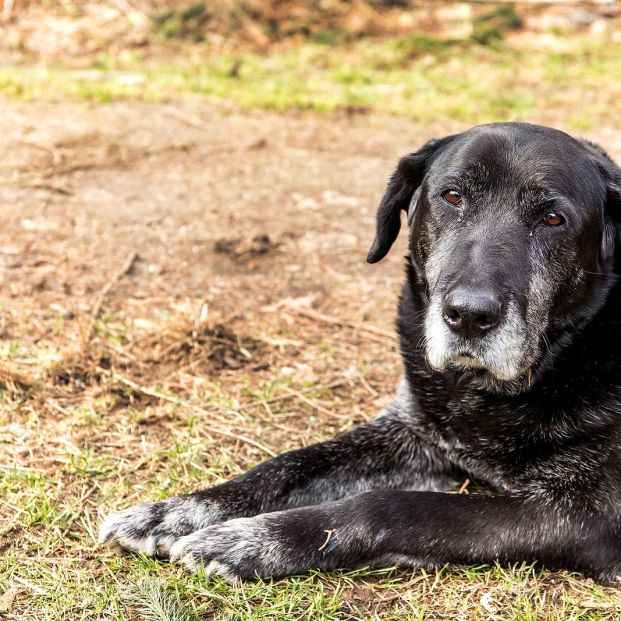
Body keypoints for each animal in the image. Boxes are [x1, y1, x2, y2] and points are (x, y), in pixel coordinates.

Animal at [99, 121, 620, 580]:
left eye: (553, 219)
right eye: (452, 196)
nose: (469, 315)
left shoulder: (588, 514)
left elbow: (395, 506)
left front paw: (251, 542)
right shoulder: (412, 431)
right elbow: (291, 464)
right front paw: (180, 510)